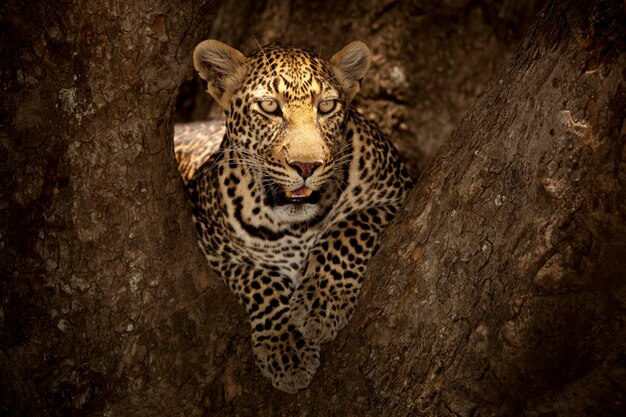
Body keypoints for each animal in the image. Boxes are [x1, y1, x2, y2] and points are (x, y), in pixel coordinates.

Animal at [173, 39, 412, 394]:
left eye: (326, 106)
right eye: (270, 107)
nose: (306, 166)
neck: (295, 224)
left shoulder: (398, 193)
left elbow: (346, 230)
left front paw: (321, 305)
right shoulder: (212, 245)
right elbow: (260, 280)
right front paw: (287, 350)